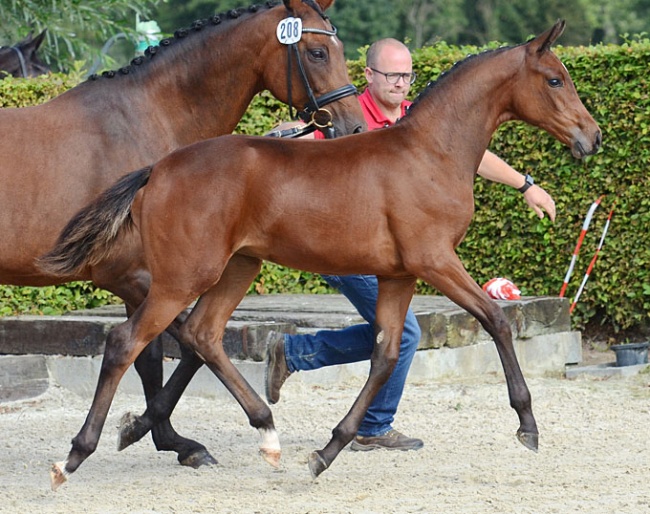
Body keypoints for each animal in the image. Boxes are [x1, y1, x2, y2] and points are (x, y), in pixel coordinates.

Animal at [0, 0, 364, 472]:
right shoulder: (136, 277)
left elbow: (165, 352)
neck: (145, 120)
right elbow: (174, 347)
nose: (355, 128)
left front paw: (160, 435)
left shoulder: (149, 280)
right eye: (318, 53)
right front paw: (161, 435)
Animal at [39, 20, 596, 484]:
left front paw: (327, 452)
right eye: (554, 80)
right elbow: (496, 321)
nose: (592, 137)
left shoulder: (399, 275)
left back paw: (261, 432)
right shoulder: (434, 261)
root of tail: (158, 169)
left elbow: (386, 354)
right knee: (126, 342)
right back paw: (74, 456)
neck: (430, 153)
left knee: (201, 335)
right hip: (183, 277)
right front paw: (528, 426)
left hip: (238, 267)